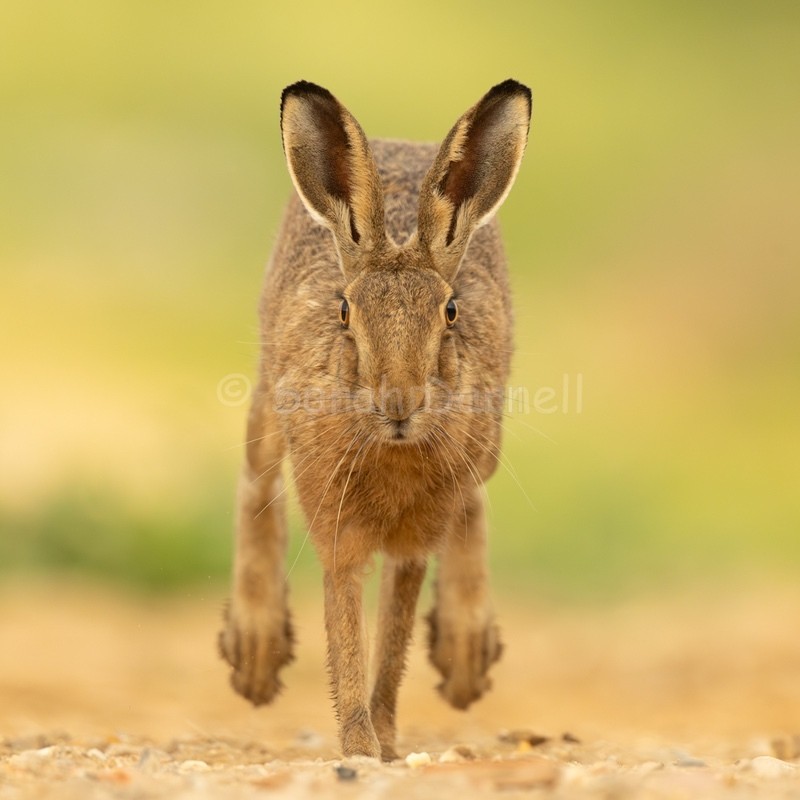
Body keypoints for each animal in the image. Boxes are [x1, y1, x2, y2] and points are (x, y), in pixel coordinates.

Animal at [219, 78, 532, 761]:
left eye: (450, 312)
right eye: (344, 311)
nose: (399, 403)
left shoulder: (417, 538)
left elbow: (394, 634)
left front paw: (383, 741)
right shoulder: (338, 527)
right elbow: (346, 627)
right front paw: (360, 746)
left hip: (489, 445)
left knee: (474, 506)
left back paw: (465, 654)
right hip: (266, 400)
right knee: (257, 478)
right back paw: (255, 655)